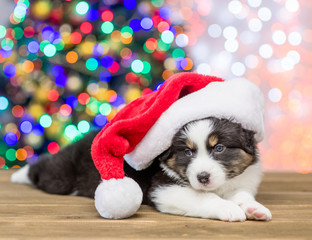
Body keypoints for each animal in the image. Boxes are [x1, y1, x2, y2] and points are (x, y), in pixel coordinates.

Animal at [11, 116, 272, 221]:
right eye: (187, 152)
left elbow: (242, 195)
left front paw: (255, 209)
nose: (203, 177)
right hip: (62, 175)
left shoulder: (240, 181)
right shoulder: (163, 187)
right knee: (43, 169)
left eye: (219, 148)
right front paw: (229, 209)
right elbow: (204, 199)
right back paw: (18, 174)